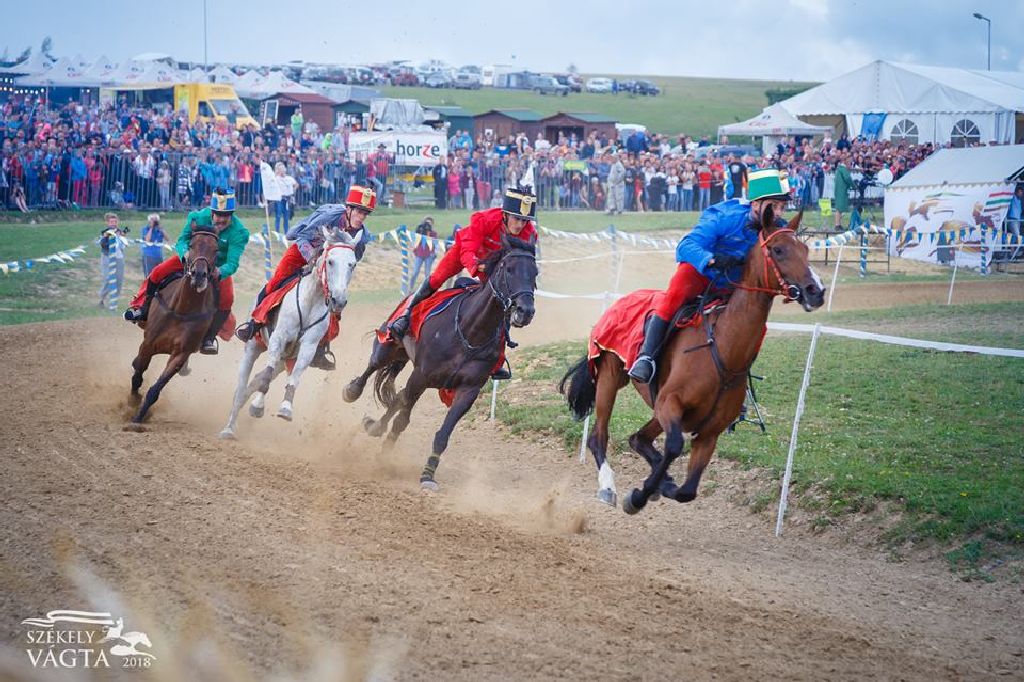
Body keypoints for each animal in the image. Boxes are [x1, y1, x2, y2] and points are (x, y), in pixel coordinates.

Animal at [130, 220, 220, 421]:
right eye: (191, 244)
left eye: (216, 249)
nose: (199, 275)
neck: (182, 309)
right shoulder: (148, 343)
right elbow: (138, 373)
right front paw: (132, 402)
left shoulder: (180, 354)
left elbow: (156, 389)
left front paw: (138, 417)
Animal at [217, 224, 360, 436]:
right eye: (330, 261)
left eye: (352, 264)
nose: (339, 300)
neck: (311, 300)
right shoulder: (278, 339)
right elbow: (266, 376)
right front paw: (257, 407)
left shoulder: (308, 347)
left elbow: (294, 377)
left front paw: (285, 408)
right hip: (253, 348)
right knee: (242, 385)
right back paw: (229, 427)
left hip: (284, 359)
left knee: (259, 379)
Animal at [342, 235, 536, 489]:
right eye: (509, 269)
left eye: (535, 272)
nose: (525, 311)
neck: (470, 331)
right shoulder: (421, 376)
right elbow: (402, 420)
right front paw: (384, 456)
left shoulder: (468, 390)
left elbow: (442, 435)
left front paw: (427, 474)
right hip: (389, 346)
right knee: (373, 367)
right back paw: (352, 391)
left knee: (398, 396)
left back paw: (375, 426)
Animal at [557, 204, 827, 512]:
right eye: (779, 250)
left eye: (805, 250)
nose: (816, 291)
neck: (723, 349)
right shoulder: (669, 402)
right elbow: (674, 446)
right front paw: (639, 496)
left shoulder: (709, 432)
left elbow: (688, 490)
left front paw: (661, 486)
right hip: (610, 380)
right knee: (598, 438)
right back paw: (608, 486)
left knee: (638, 439)